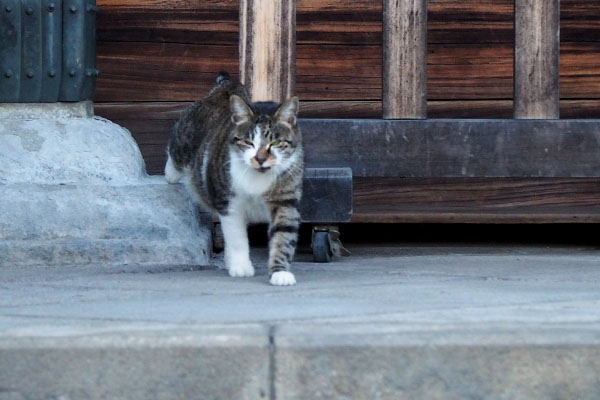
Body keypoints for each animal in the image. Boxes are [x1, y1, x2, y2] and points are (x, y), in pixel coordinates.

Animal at [164, 71, 302, 284]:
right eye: (248, 142)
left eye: (276, 143)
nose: (260, 158)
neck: (257, 177)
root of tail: (226, 86)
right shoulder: (228, 203)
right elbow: (237, 238)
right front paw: (241, 267)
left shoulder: (285, 201)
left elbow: (283, 236)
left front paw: (280, 273)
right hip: (184, 139)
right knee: (175, 150)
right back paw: (170, 174)